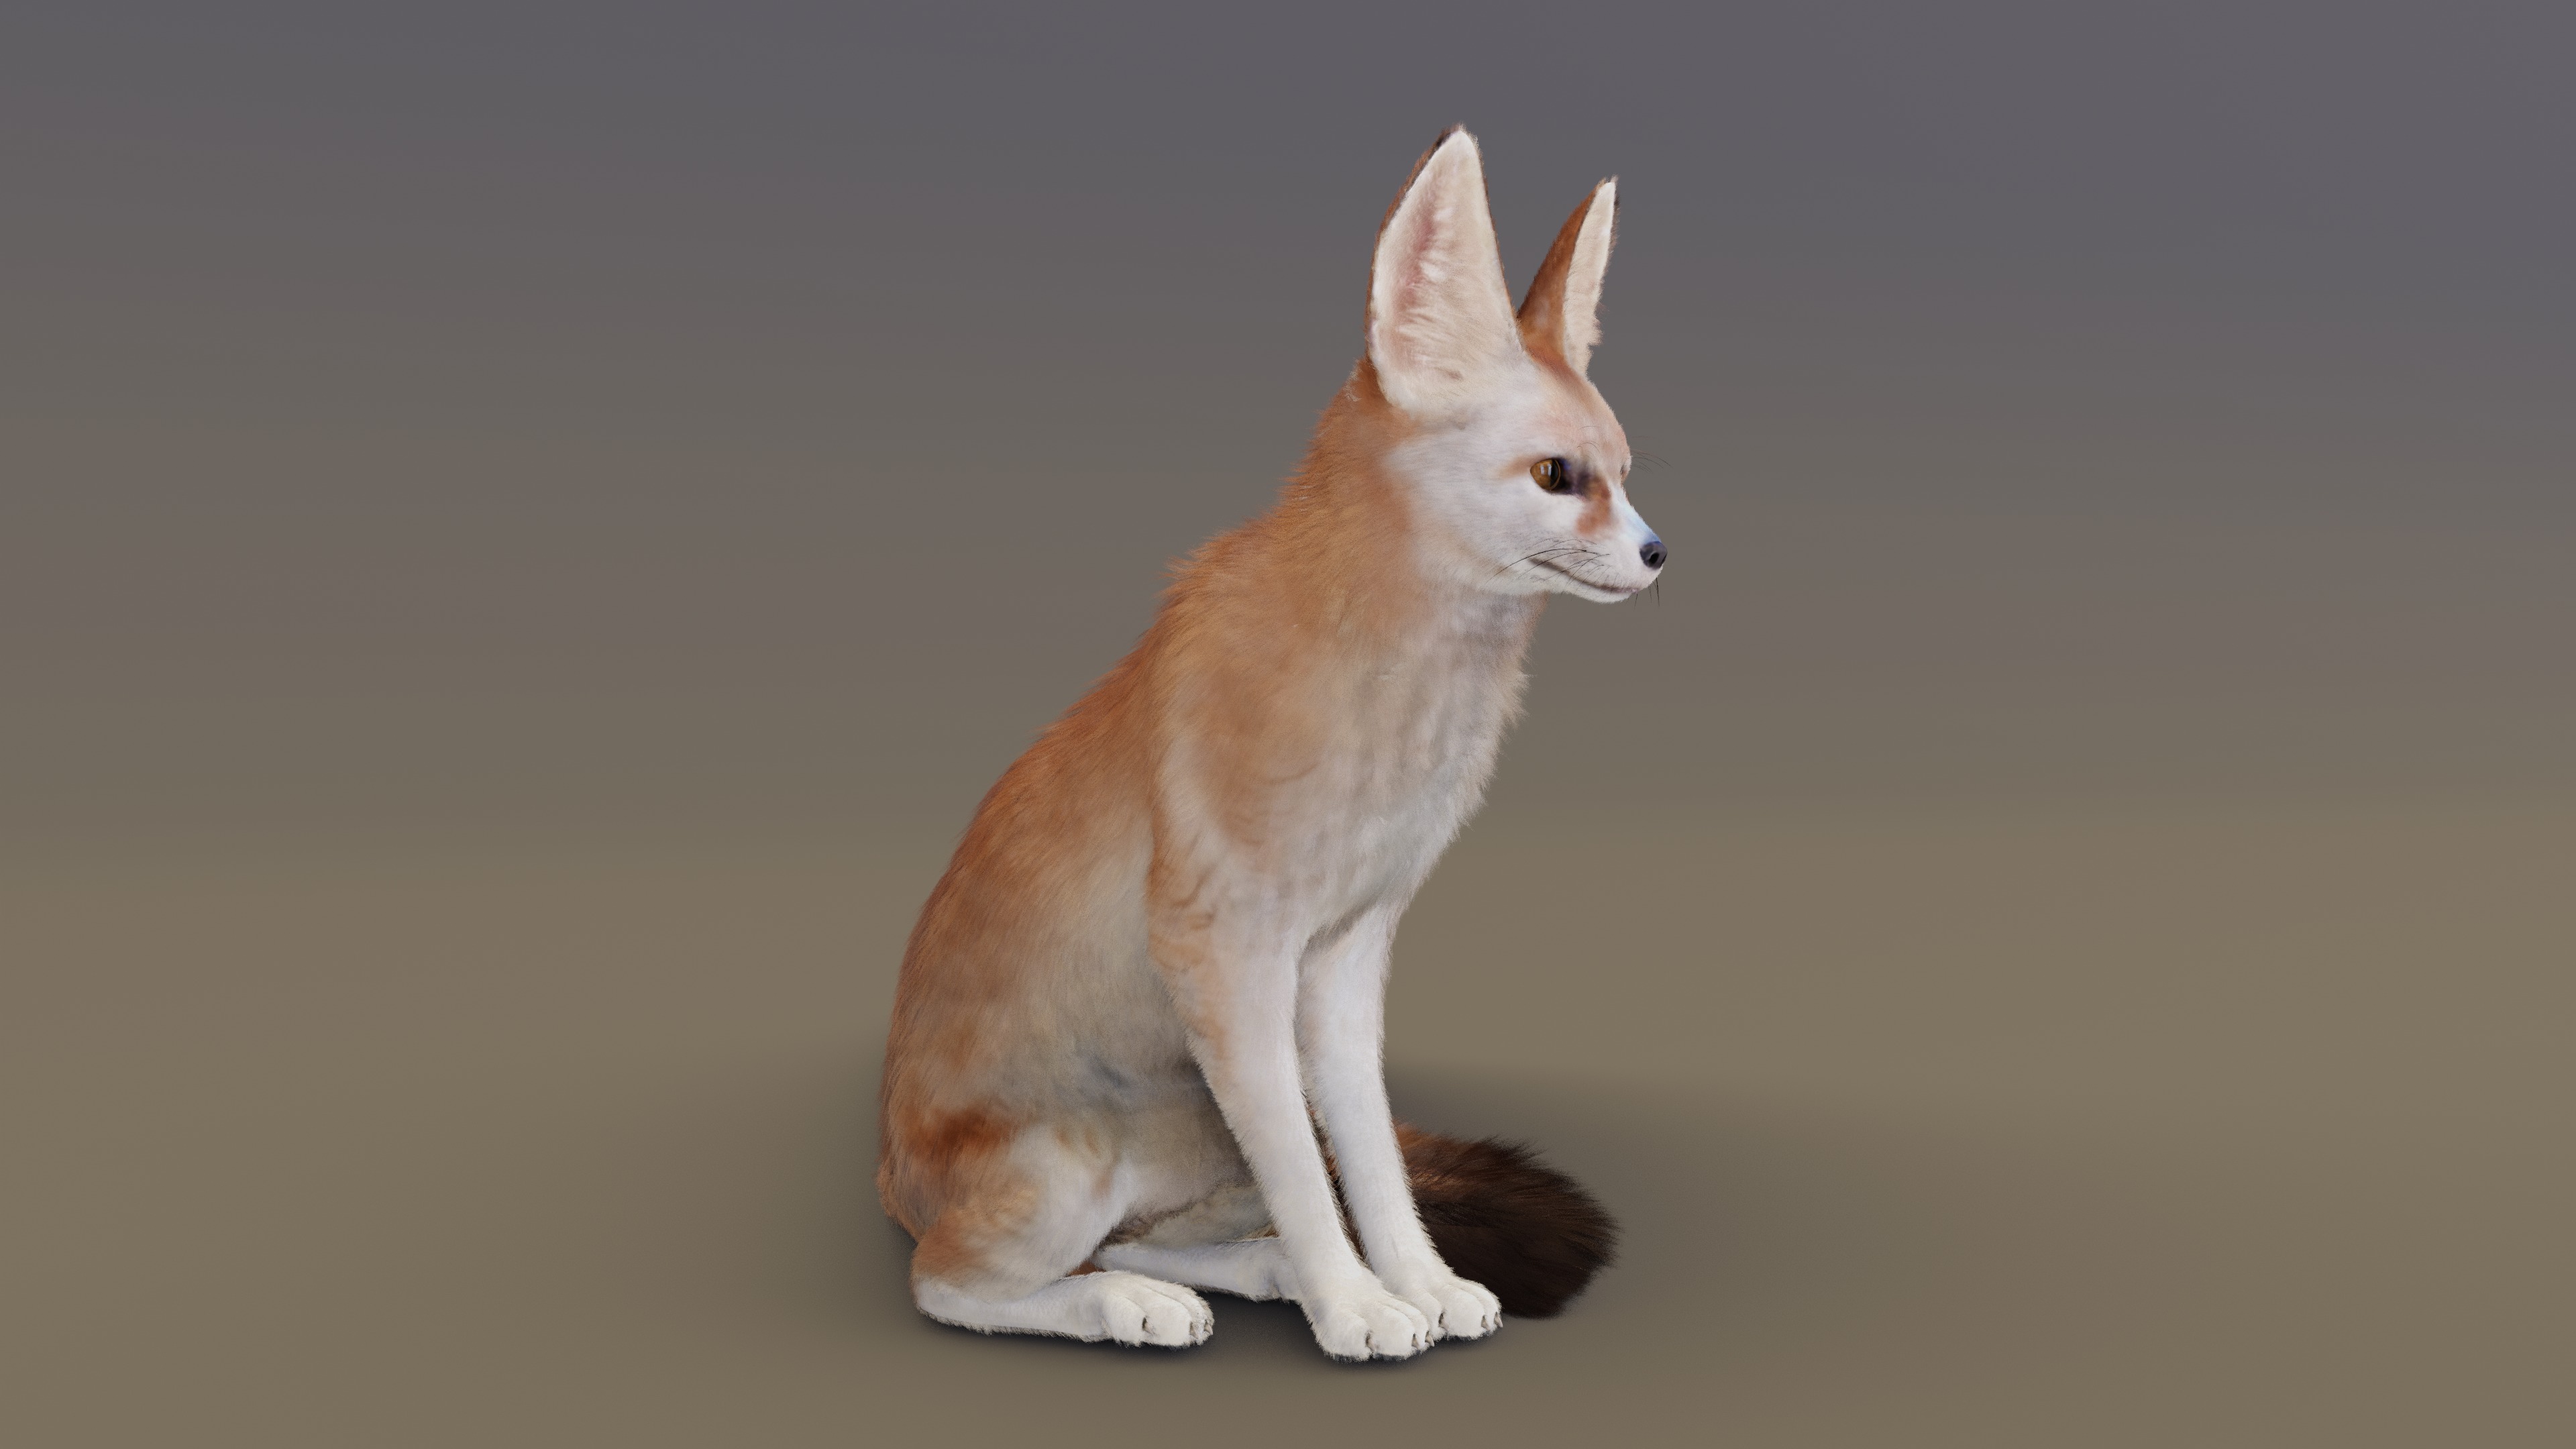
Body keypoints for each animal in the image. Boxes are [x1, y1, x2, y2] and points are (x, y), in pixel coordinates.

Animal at [877, 127, 1661, 1361]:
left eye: (1624, 473)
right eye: (1557, 477)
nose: (1658, 552)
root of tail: (886, 1172)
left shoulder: (1344, 959)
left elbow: (1368, 1157)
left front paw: (1416, 1284)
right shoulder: (1228, 955)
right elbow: (1304, 1163)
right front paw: (1357, 1309)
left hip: (1187, 1139)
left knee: (1150, 1236)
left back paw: (1240, 1274)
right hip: (1069, 1170)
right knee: (951, 1283)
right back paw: (1128, 1304)